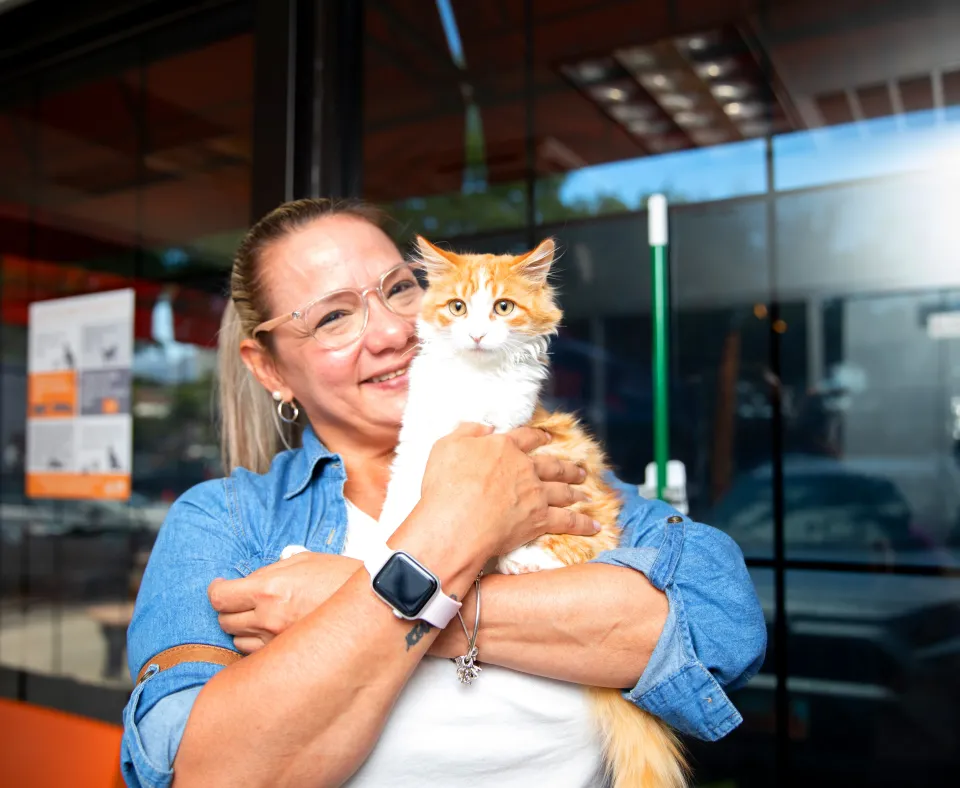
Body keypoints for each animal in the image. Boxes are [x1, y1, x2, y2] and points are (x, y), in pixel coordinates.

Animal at [376, 235, 688, 788]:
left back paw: (520, 561)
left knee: (567, 555)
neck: (472, 384)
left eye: (503, 307)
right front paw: (371, 549)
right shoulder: (416, 449)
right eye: (458, 307)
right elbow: (399, 510)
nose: (478, 334)